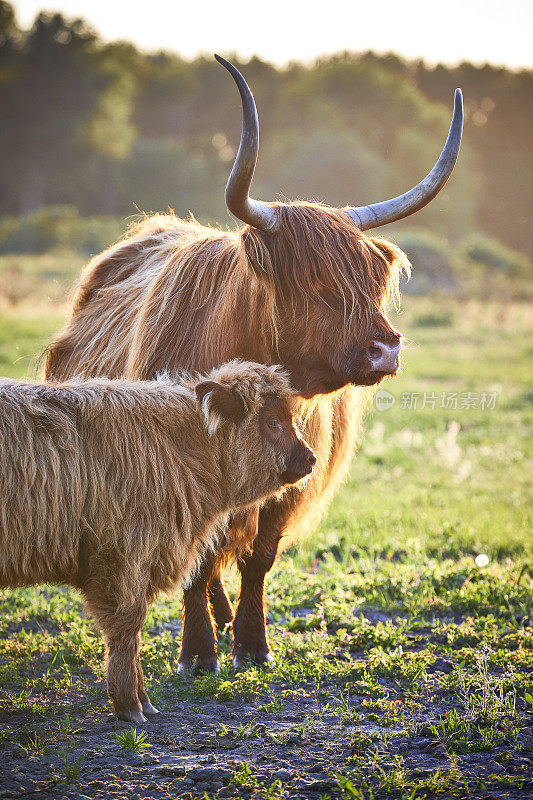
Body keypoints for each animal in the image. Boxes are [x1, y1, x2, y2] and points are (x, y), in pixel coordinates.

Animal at [0, 360, 314, 720]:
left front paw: (141, 701)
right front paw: (131, 704)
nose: (311, 458)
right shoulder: (124, 558)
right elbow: (127, 628)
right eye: (273, 421)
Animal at [44, 54, 462, 668]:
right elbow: (198, 561)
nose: (385, 349)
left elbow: (258, 556)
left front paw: (253, 644)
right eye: (310, 281)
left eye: (371, 279)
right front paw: (198, 653)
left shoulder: (293, 474)